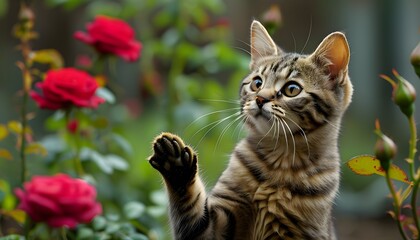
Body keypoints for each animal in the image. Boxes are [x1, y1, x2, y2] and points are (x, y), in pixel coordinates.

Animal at [149, 21, 352, 240]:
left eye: (292, 89)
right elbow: (190, 208)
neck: (280, 162)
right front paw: (175, 163)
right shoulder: (213, 227)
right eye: (257, 83)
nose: (261, 99)